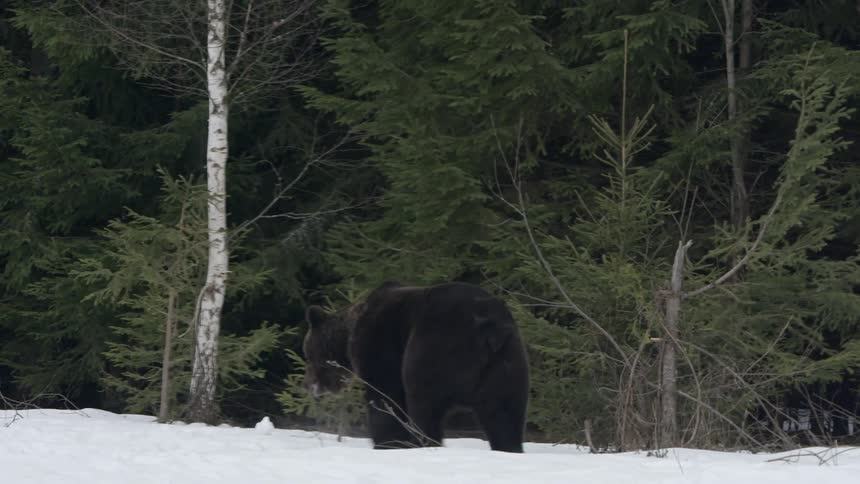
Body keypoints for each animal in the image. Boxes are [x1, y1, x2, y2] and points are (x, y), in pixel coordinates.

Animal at [302, 280, 530, 453]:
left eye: (308, 353)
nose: (310, 386)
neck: (349, 337)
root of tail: (489, 327)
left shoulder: (380, 347)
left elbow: (385, 399)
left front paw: (387, 443)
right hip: (506, 364)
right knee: (505, 415)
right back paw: (509, 447)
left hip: (433, 348)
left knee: (424, 405)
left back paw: (423, 442)